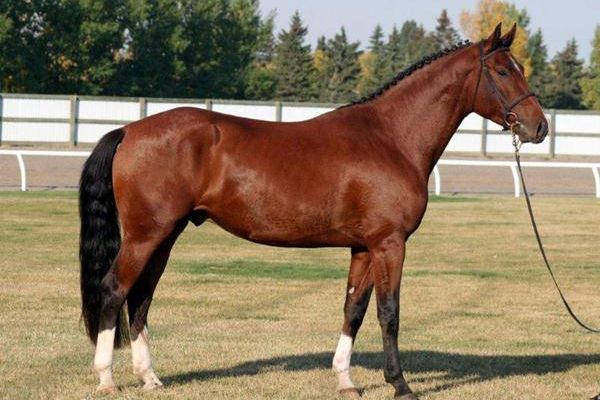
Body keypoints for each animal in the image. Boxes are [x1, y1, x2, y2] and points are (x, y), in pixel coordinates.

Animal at [79, 23, 548, 398]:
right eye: (503, 71)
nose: (539, 126)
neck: (391, 137)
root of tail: (130, 130)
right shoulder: (389, 244)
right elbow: (389, 313)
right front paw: (400, 384)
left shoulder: (364, 248)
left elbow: (353, 309)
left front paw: (345, 380)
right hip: (146, 235)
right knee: (115, 289)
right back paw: (106, 378)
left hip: (166, 234)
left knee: (140, 297)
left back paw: (149, 377)